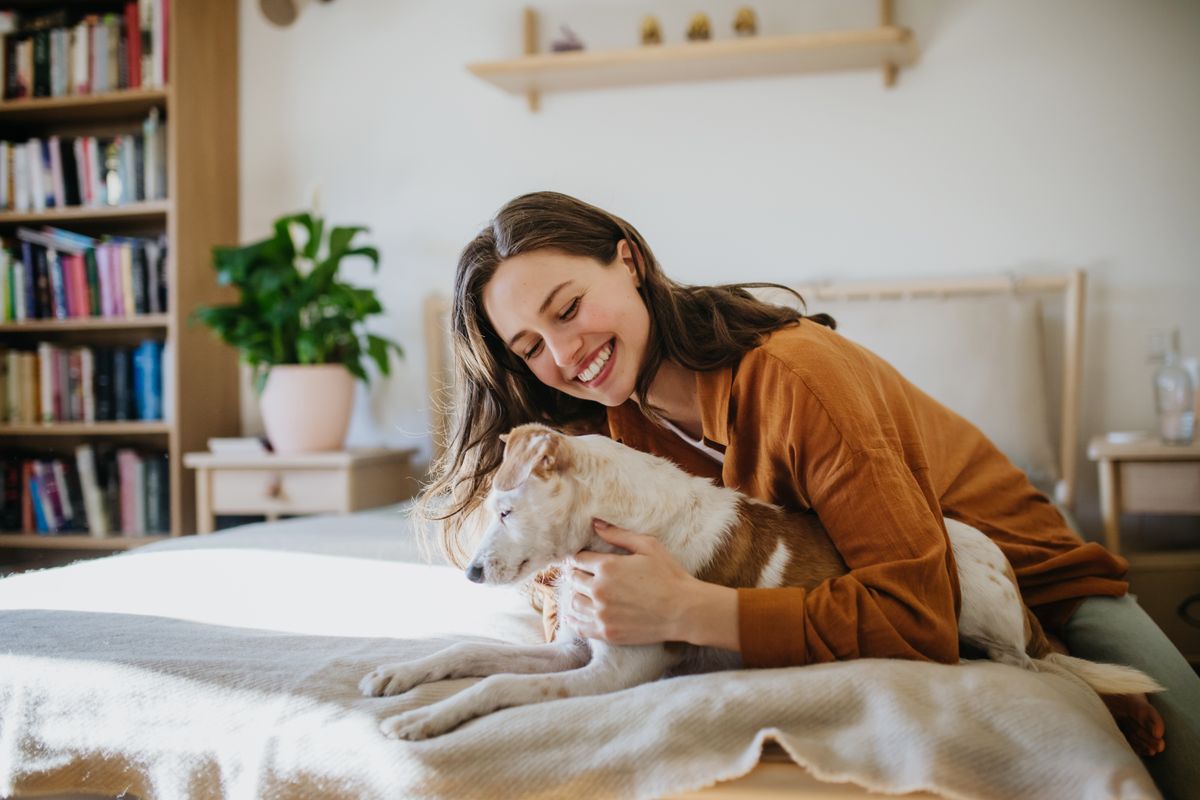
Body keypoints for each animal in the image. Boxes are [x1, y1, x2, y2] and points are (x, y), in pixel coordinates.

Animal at [357, 422, 1161, 743]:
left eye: (505, 508)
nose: (470, 571)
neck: (616, 524)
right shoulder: (573, 651)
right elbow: (468, 654)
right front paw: (399, 680)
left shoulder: (613, 673)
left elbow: (496, 685)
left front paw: (423, 722)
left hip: (978, 595)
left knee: (1024, 664)